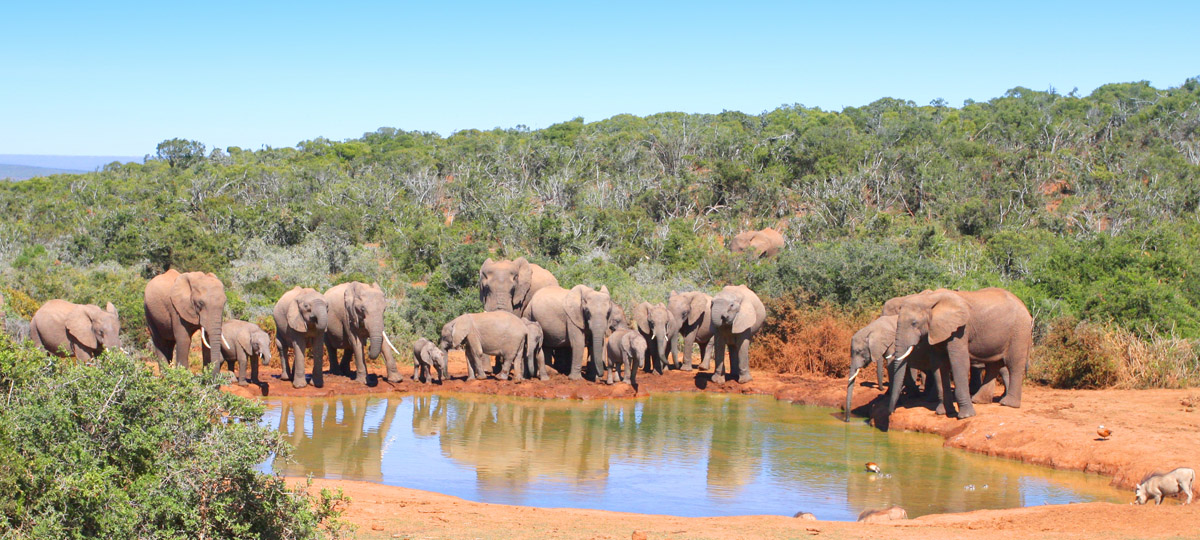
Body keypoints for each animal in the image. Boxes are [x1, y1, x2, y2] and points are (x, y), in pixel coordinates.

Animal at [892, 289, 1032, 420]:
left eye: (914, 323)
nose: (891, 412)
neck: (930, 299)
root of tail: (1023, 305)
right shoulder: (938, 331)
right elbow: (939, 366)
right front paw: (944, 412)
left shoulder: (960, 330)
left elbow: (959, 363)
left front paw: (966, 416)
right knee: (993, 365)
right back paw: (979, 400)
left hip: (1019, 330)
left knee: (1014, 364)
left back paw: (1008, 404)